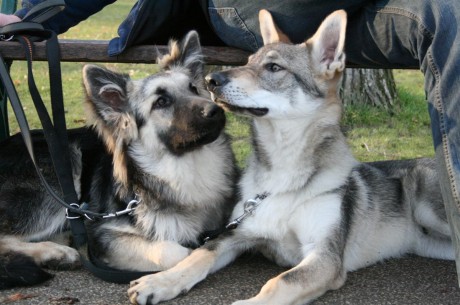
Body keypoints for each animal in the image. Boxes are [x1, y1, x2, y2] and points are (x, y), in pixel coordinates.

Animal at [0, 30, 237, 288]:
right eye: (161, 102)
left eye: (193, 89)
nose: (216, 111)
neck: (183, 168)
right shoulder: (104, 233)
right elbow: (179, 252)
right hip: (61, 171)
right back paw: (54, 252)